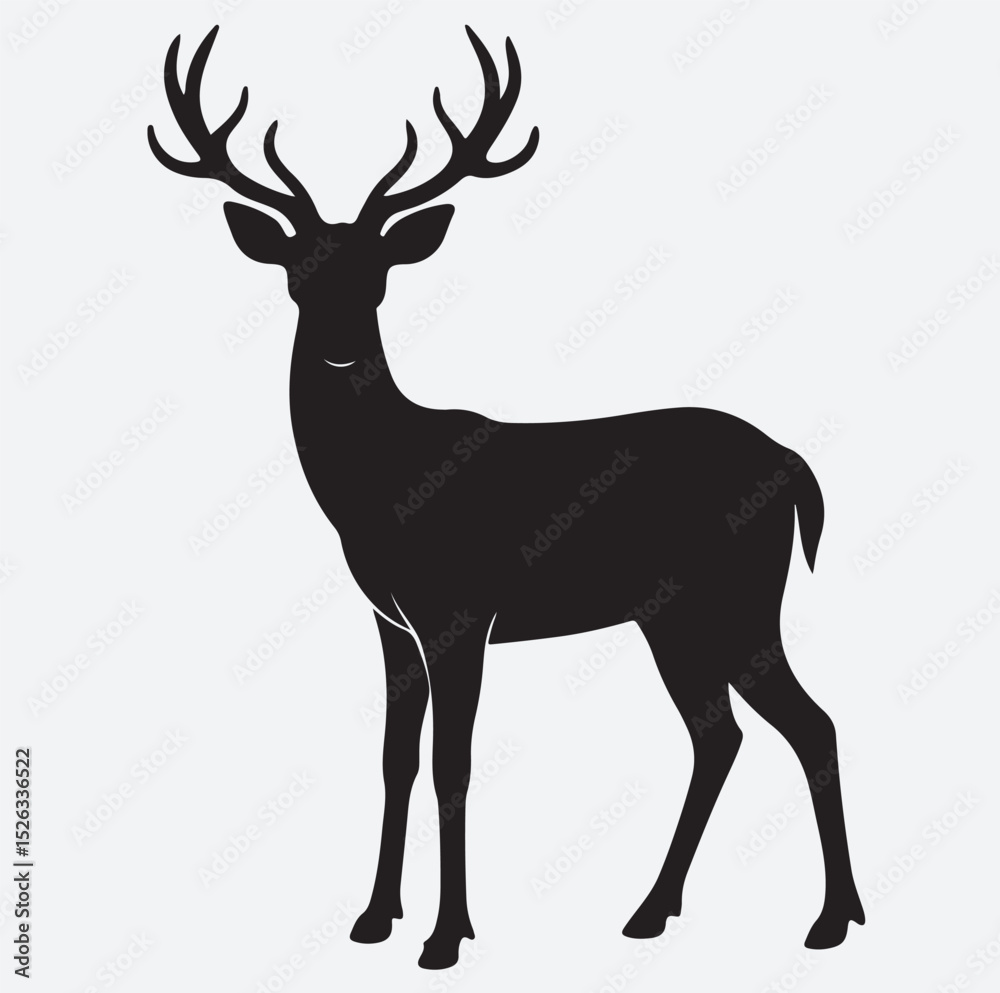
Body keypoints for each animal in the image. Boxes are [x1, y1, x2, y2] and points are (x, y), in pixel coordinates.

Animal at [149, 24, 865, 970]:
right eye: (298, 273)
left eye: (378, 273)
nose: (339, 346)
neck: (382, 487)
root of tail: (795, 464)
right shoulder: (389, 618)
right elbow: (396, 758)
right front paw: (373, 917)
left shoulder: (462, 606)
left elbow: (453, 762)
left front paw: (446, 934)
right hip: (672, 614)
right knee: (722, 734)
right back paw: (653, 910)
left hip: (739, 596)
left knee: (808, 723)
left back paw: (831, 919)